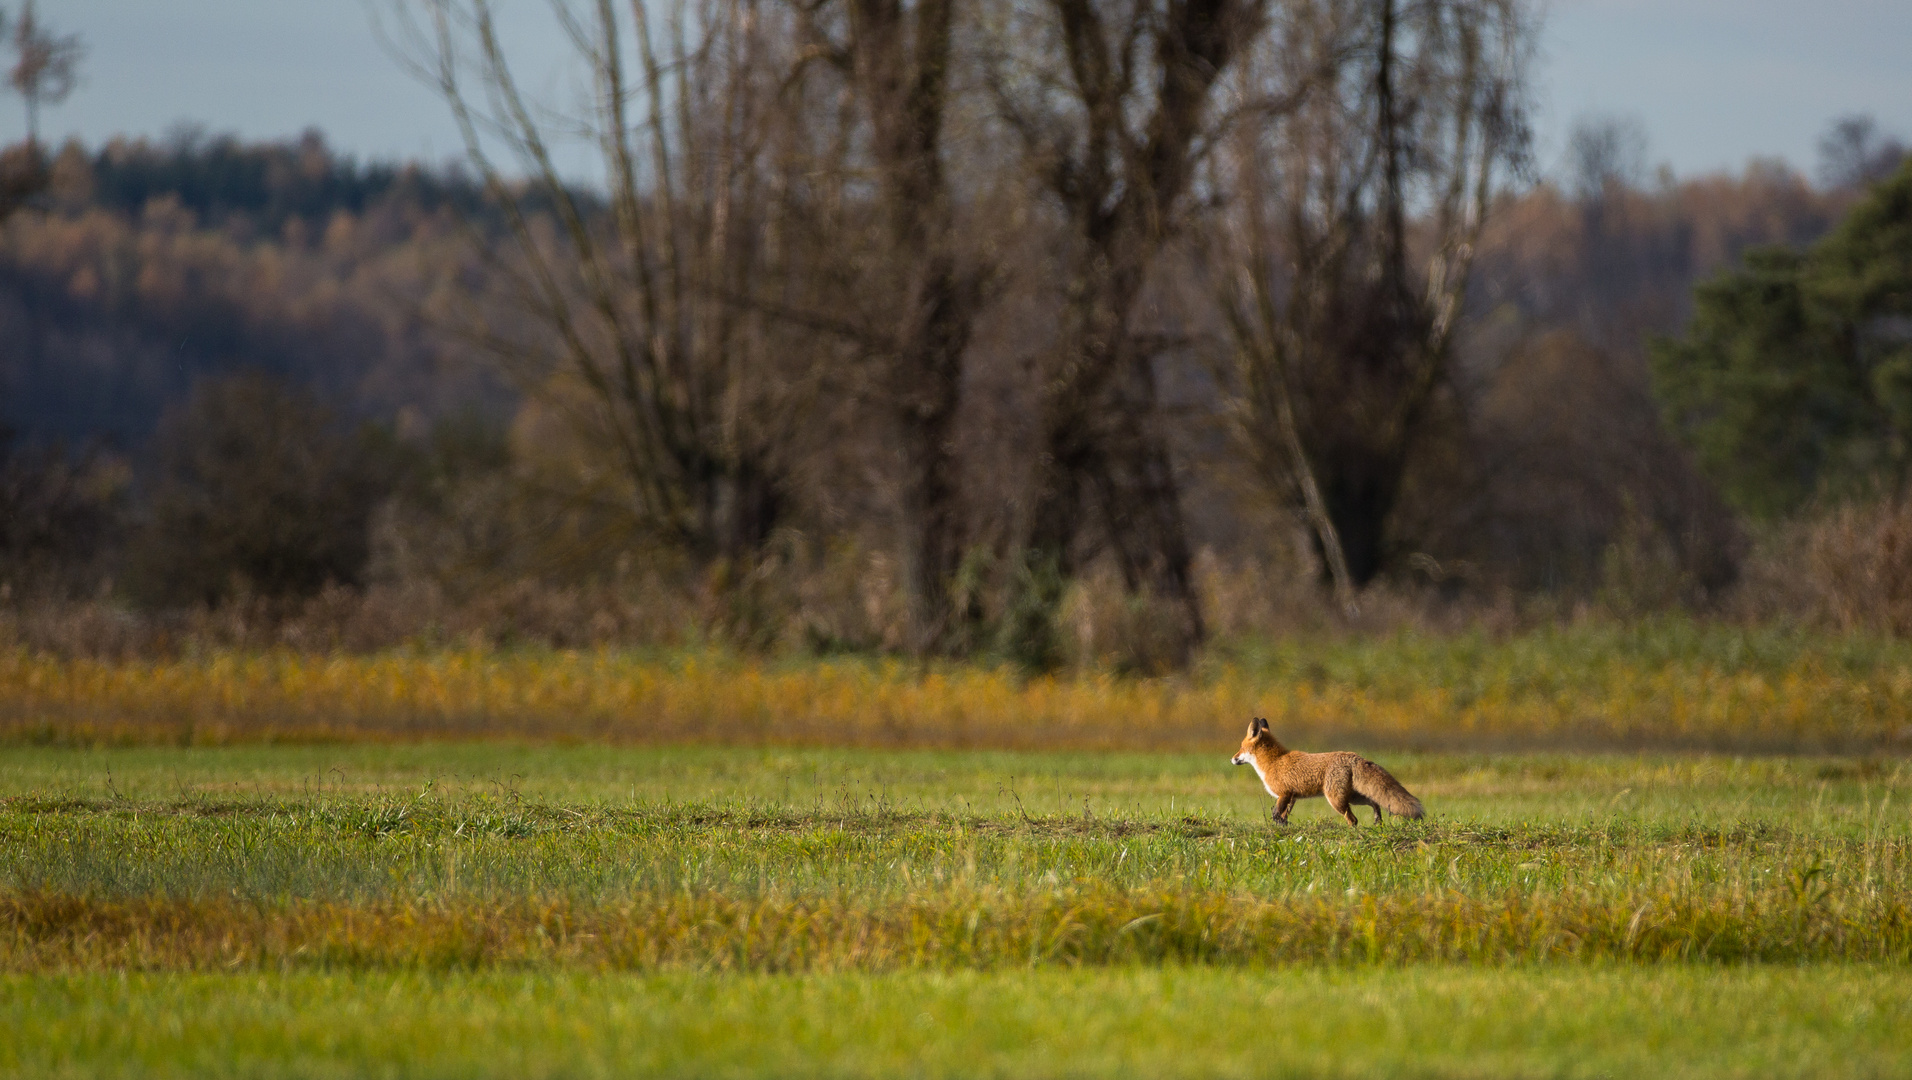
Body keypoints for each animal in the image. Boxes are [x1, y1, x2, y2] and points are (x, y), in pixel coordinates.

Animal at [1238, 714, 1422, 825]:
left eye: (1240, 748)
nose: (1233, 758)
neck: (1273, 761)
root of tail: (1353, 756)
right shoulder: (1292, 797)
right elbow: (1283, 816)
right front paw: (1282, 826)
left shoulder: (1284, 794)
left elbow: (1276, 814)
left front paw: (1277, 823)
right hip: (1354, 797)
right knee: (1375, 803)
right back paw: (1377, 821)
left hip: (1335, 800)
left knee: (1353, 819)